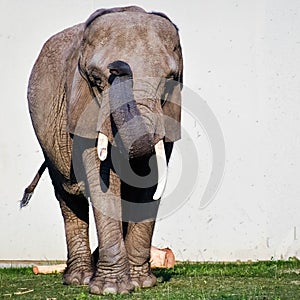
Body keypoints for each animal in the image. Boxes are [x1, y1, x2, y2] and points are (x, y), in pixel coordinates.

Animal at [22, 5, 183, 296]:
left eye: (169, 81)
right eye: (96, 80)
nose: (118, 67)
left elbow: (148, 183)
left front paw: (141, 284)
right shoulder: (84, 111)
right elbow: (102, 180)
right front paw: (110, 290)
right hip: (47, 138)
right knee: (67, 195)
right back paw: (79, 278)